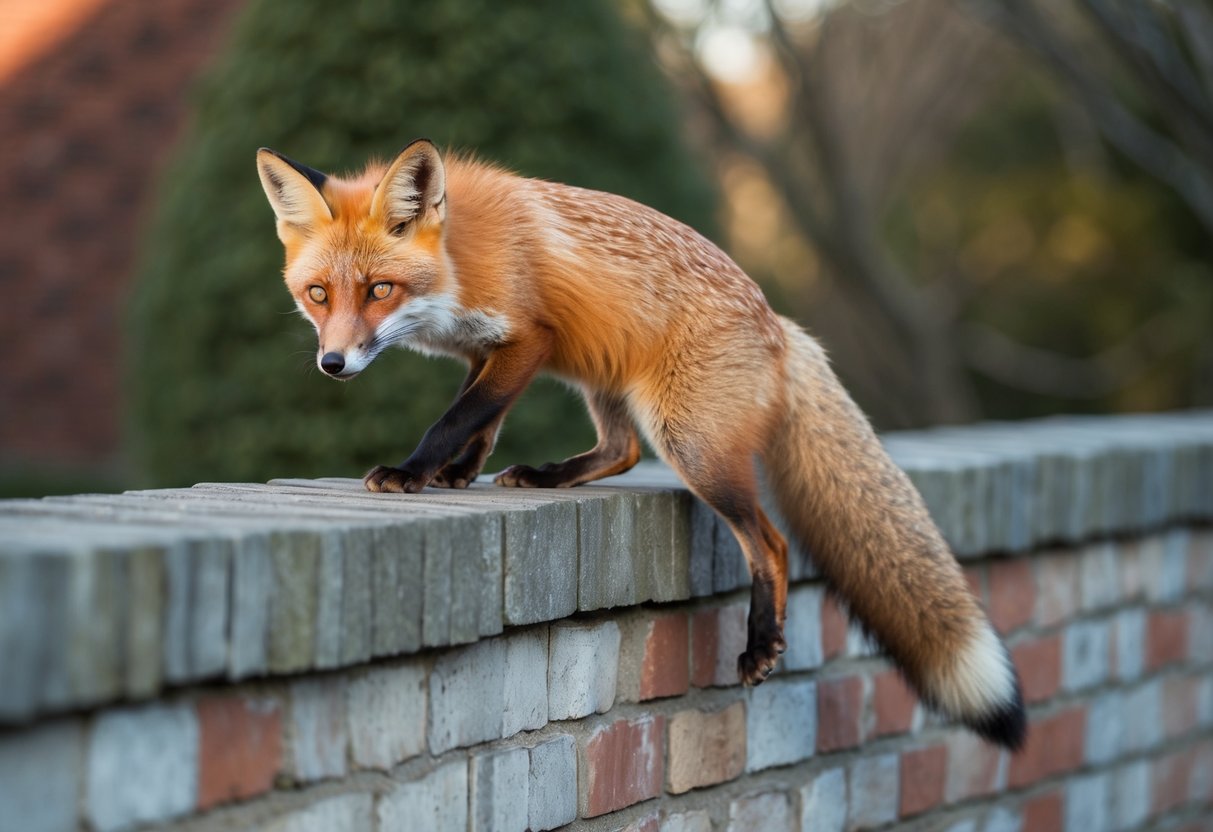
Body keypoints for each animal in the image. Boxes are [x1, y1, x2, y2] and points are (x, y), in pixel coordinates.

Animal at [256, 139, 1026, 749]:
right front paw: (455, 473)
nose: (333, 364)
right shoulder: (494, 350)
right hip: (605, 378)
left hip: (687, 441)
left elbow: (457, 415)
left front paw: (413, 469)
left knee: (770, 543)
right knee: (621, 451)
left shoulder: (527, 338)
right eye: (319, 295)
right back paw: (546, 475)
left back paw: (761, 643)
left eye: (379, 290)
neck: (458, 260)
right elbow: (483, 418)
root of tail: (779, 327)